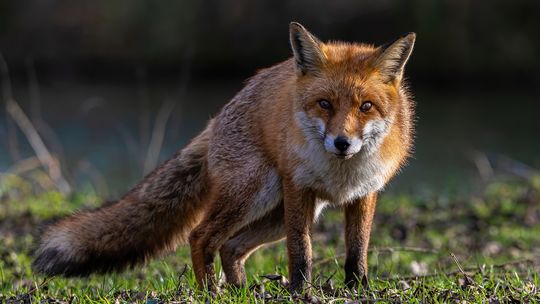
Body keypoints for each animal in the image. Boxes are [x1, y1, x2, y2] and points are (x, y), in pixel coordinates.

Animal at [33, 22, 416, 292]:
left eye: (366, 107)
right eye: (324, 104)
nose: (342, 143)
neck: (340, 174)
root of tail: (216, 118)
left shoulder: (365, 193)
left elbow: (357, 251)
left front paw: (357, 289)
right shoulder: (298, 188)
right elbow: (301, 251)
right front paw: (300, 291)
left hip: (276, 213)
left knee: (231, 246)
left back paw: (241, 290)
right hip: (257, 194)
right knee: (201, 236)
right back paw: (210, 291)